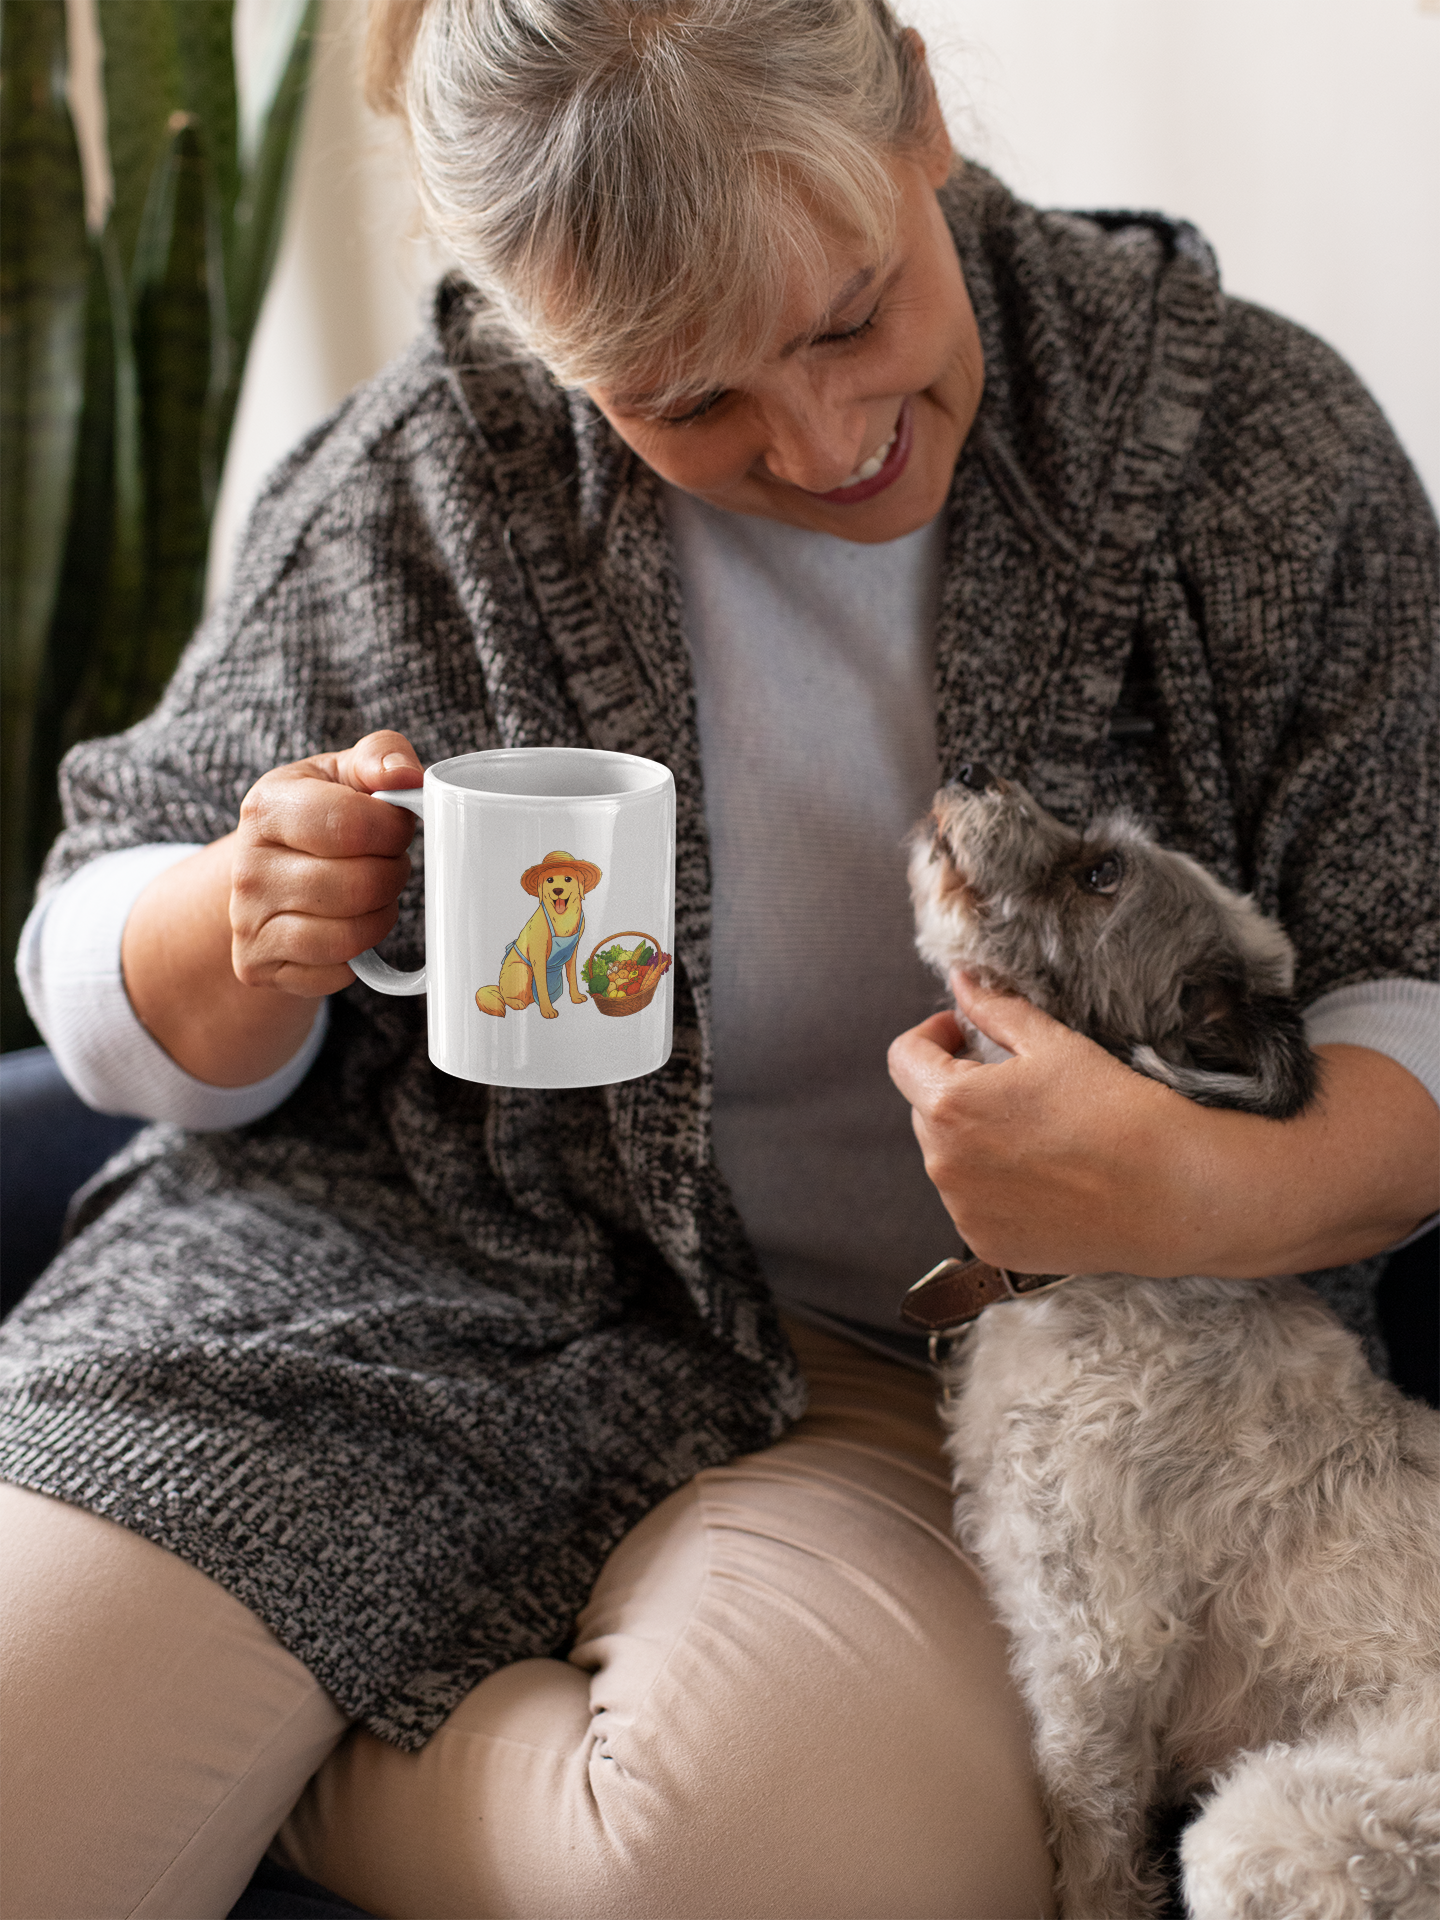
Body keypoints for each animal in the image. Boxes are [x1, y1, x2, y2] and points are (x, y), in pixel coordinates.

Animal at [906, 764, 1440, 1920]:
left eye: (1101, 874)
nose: (973, 773)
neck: (1099, 1284)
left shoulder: (1093, 1646)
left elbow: (1094, 1843)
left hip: (1271, 1829)